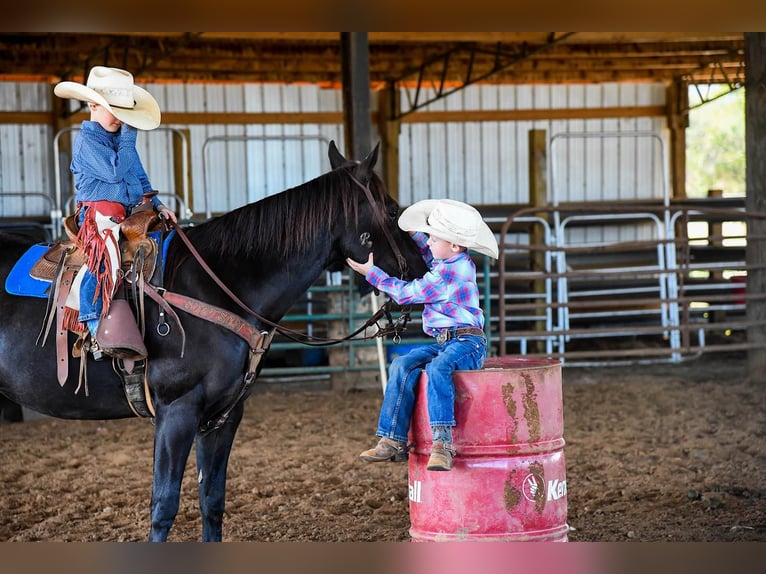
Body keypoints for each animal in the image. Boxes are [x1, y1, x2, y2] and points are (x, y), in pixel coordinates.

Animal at [0, 142, 426, 544]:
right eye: (392, 211)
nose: (424, 269)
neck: (216, 284)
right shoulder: (177, 411)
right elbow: (164, 504)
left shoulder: (223, 416)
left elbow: (212, 500)